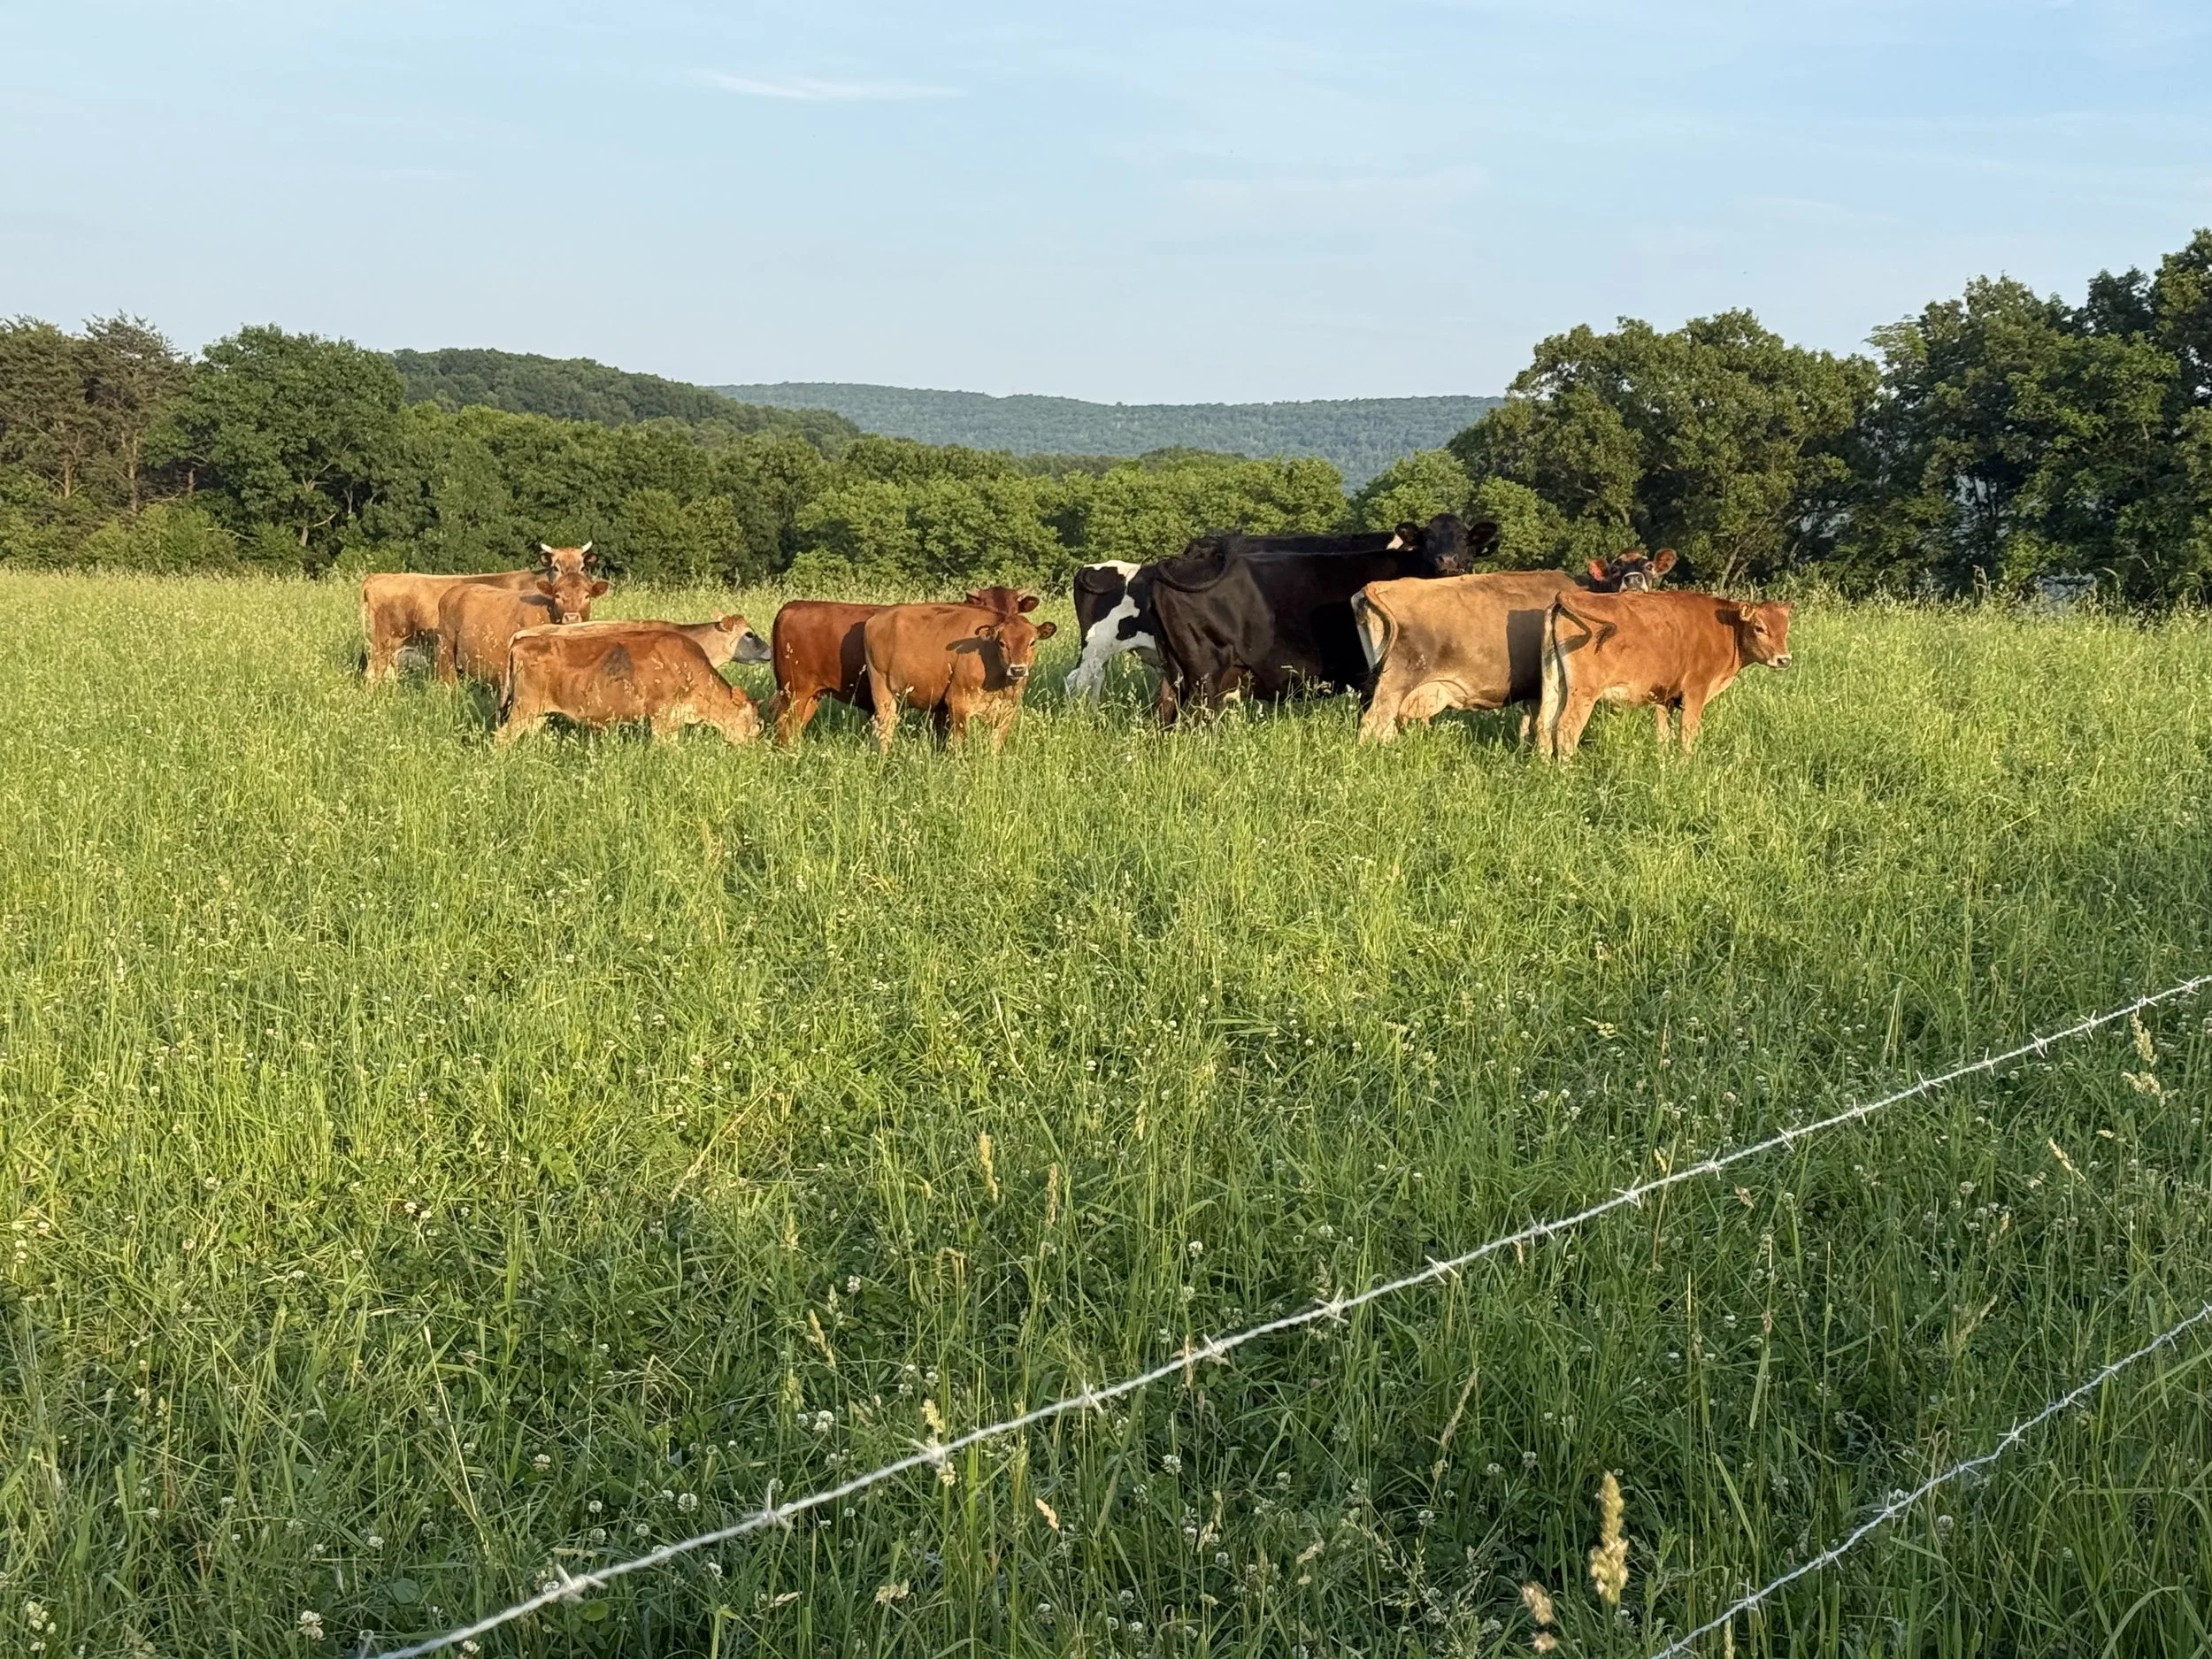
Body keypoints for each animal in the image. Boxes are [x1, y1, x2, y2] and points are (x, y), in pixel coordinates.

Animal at [497, 622, 765, 747]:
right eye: (752, 722)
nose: (753, 746)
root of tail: (522, 642)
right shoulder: (661, 719)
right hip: (523, 709)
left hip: (537, 714)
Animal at [767, 588, 1038, 745]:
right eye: (984, 604)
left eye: (1016, 608)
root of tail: (792, 606)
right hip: (796, 693)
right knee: (784, 730)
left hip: (811, 696)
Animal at [862, 601, 1056, 752]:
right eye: (1002, 643)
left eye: (1032, 642)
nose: (1018, 670)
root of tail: (877, 618)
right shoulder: (958, 704)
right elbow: (958, 744)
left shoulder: (1008, 710)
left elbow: (995, 745)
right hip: (882, 692)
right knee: (885, 730)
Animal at [1352, 548, 1678, 744]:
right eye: (1615, 568)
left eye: (1649, 566)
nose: (1633, 579)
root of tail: (1379, 586)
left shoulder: (1532, 689)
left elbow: (1527, 726)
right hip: (1397, 681)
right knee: (1374, 723)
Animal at [1535, 590, 1793, 760]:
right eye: (1759, 628)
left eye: (1786, 629)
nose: (1784, 659)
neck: (1727, 627)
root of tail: (1573, 595)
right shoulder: (1695, 691)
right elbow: (1688, 733)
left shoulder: (1664, 698)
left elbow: (1663, 735)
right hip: (1584, 693)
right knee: (1567, 728)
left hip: (1555, 684)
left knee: (1545, 722)